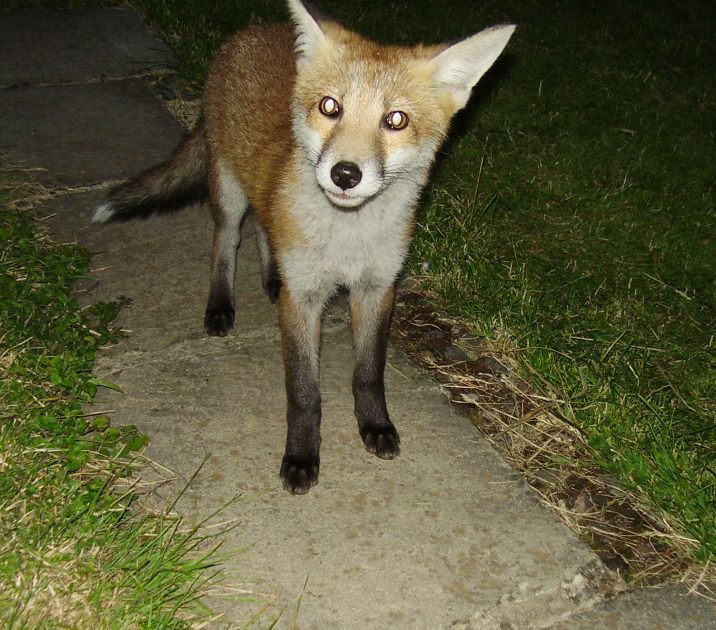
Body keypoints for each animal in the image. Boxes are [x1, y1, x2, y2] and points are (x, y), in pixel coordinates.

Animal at [92, 0, 516, 494]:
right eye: (330, 107)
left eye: (396, 120)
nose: (345, 174)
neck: (347, 240)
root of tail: (251, 31)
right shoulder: (305, 300)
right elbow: (304, 393)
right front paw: (301, 455)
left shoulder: (377, 287)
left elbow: (369, 373)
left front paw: (375, 426)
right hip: (228, 192)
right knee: (226, 240)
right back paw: (220, 304)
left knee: (264, 226)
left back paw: (271, 277)